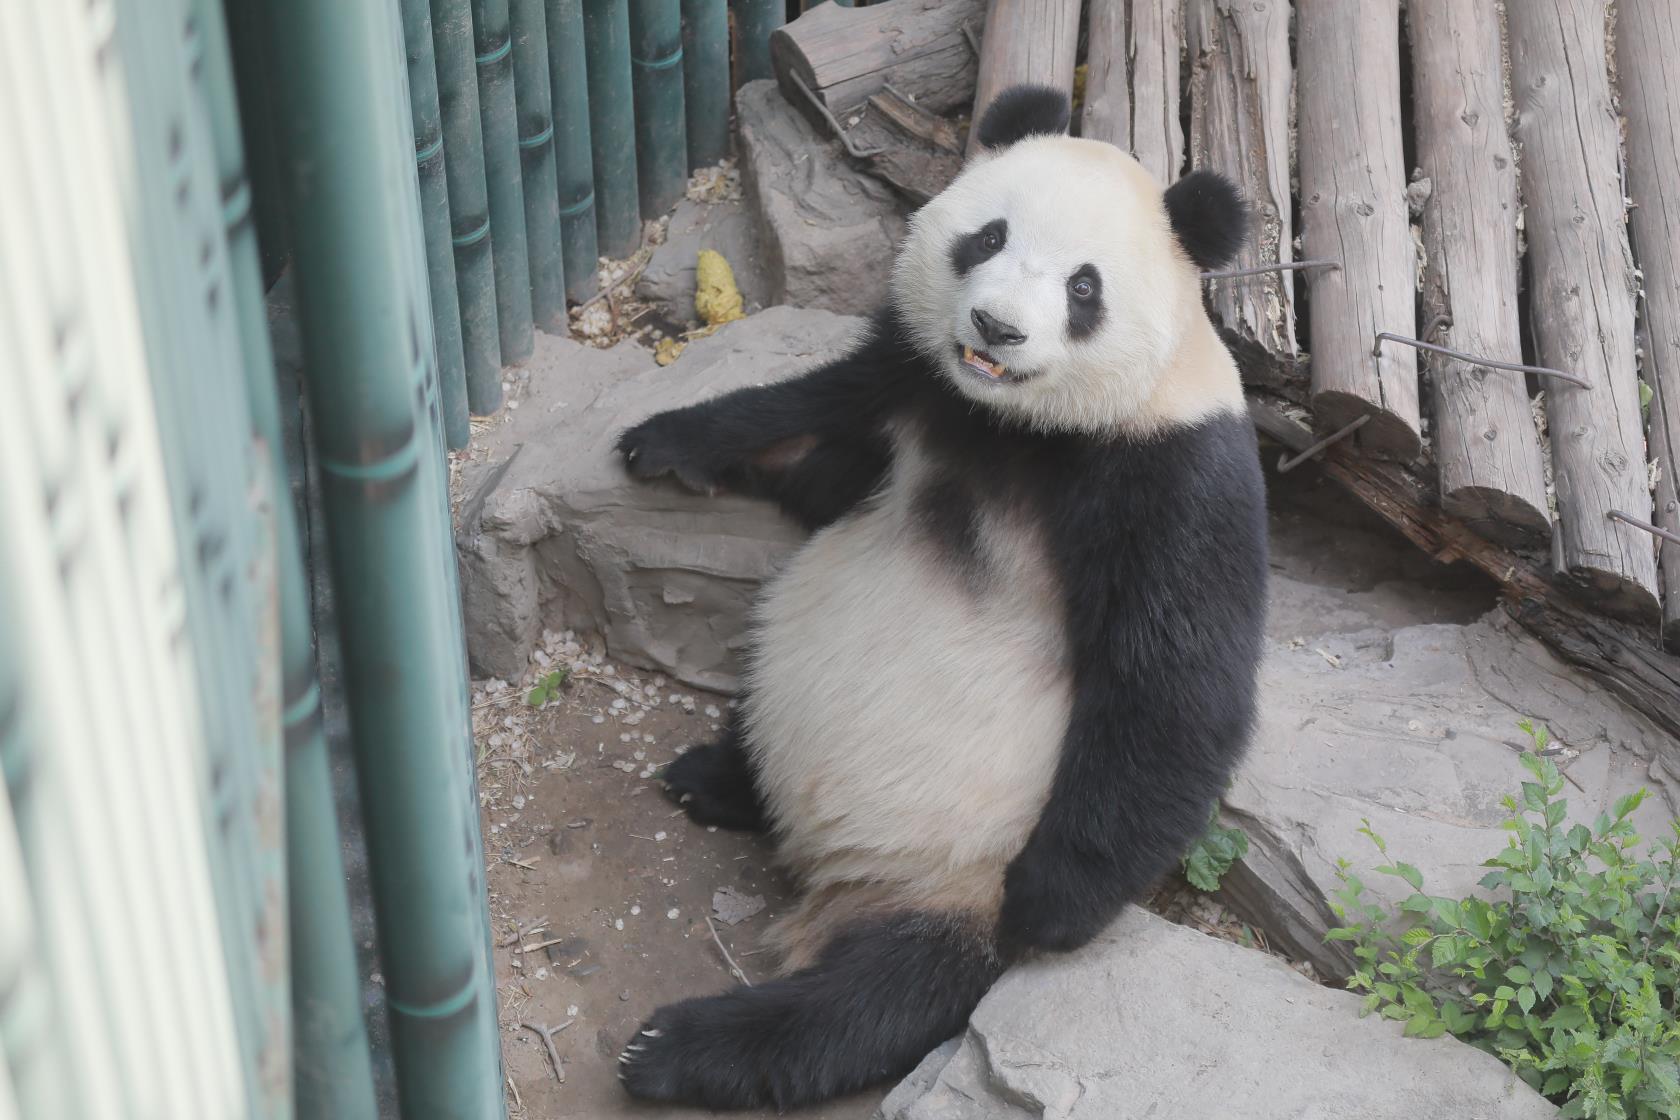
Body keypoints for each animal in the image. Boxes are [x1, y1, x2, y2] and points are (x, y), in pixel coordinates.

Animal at [614, 85, 1263, 1114]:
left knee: (870, 1000)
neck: (1012, 423)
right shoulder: (910, 383)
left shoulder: (1173, 470)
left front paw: (1053, 904)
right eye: (987, 237)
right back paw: (718, 777)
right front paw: (666, 440)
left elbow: (1174, 685)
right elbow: (808, 433)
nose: (996, 328)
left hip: (949, 876)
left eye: (1085, 288)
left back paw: (679, 1048)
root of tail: (822, 872)